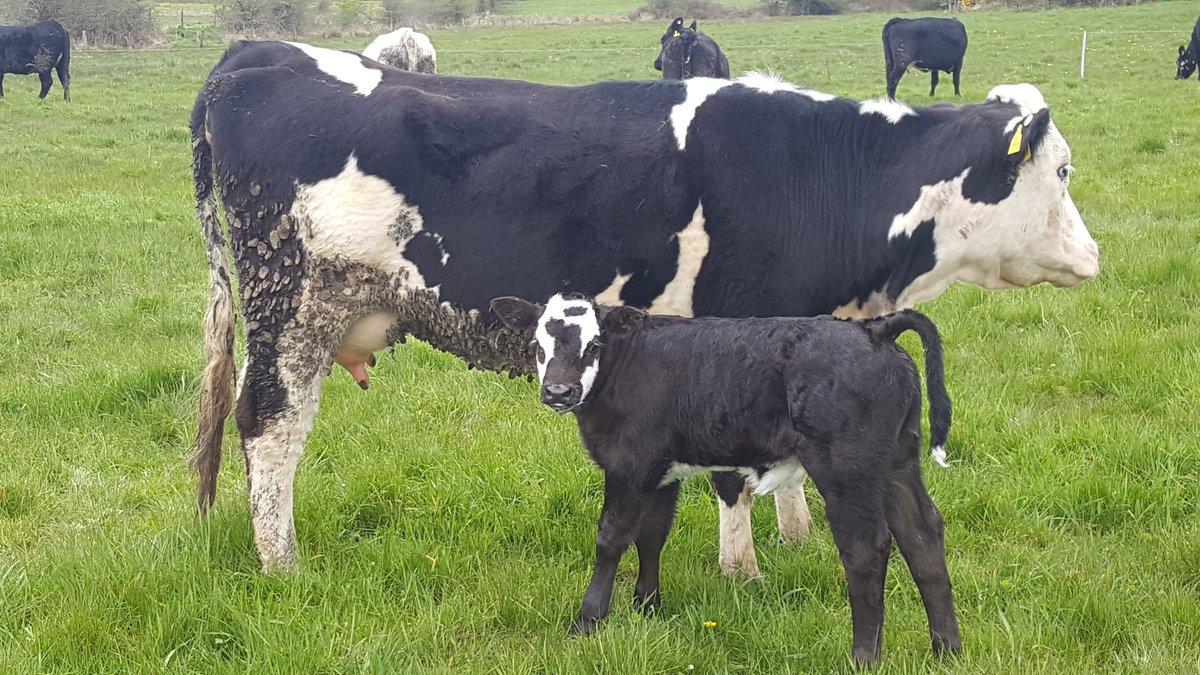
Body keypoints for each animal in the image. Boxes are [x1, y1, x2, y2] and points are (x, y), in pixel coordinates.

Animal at [192, 40, 1099, 571]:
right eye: (1061, 172)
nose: (1094, 257)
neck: (821, 171)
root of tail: (265, 51)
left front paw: (798, 540)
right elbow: (734, 472)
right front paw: (744, 572)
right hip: (292, 307)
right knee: (269, 426)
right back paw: (282, 563)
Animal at [492, 291, 960, 662]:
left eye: (594, 344)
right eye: (537, 345)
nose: (558, 392)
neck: (625, 367)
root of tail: (874, 330)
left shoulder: (629, 466)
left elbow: (611, 540)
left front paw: (588, 622)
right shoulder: (662, 471)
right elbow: (652, 535)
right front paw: (648, 607)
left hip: (847, 470)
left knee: (866, 548)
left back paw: (864, 657)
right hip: (898, 461)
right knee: (923, 535)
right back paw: (946, 649)